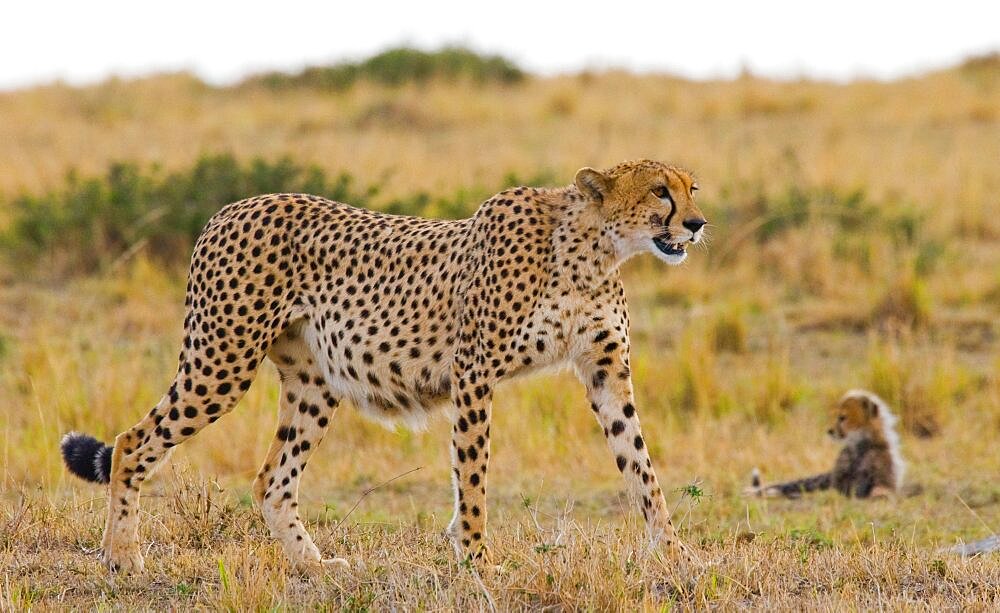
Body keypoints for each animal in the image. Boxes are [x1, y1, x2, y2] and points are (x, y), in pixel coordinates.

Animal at [58, 158, 708, 568]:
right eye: (660, 191)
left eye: (691, 188)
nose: (697, 224)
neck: (593, 252)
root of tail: (230, 207)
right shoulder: (474, 373)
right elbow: (473, 475)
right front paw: (478, 560)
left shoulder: (605, 373)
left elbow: (641, 467)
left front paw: (677, 556)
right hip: (223, 359)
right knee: (134, 441)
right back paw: (123, 557)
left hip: (313, 384)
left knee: (273, 480)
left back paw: (316, 568)